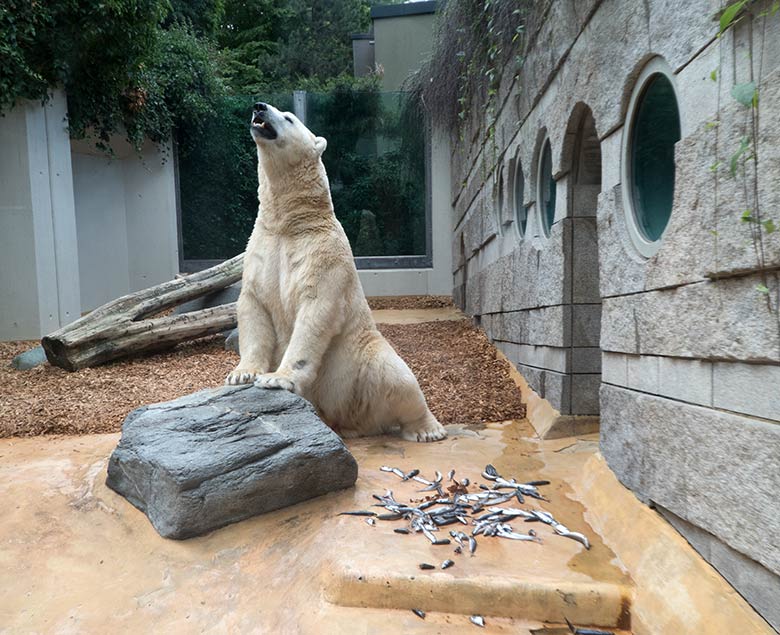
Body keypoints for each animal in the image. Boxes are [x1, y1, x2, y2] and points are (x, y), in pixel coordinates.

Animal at [224, 103, 444, 442]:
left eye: (288, 117)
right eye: (272, 109)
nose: (259, 107)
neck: (289, 224)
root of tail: (352, 418)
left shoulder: (324, 255)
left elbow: (316, 310)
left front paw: (276, 378)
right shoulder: (261, 251)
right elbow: (253, 304)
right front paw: (243, 373)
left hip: (362, 360)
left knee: (398, 376)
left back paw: (427, 429)